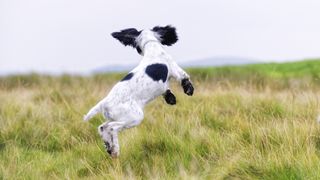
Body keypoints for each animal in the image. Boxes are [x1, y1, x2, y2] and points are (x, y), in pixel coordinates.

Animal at [84, 25, 194, 158]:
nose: (139, 51)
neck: (151, 46)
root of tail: (105, 102)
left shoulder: (163, 86)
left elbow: (166, 91)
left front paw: (171, 98)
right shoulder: (175, 69)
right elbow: (185, 78)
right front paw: (189, 90)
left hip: (115, 117)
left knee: (102, 127)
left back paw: (110, 148)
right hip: (134, 117)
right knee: (111, 128)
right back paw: (115, 149)